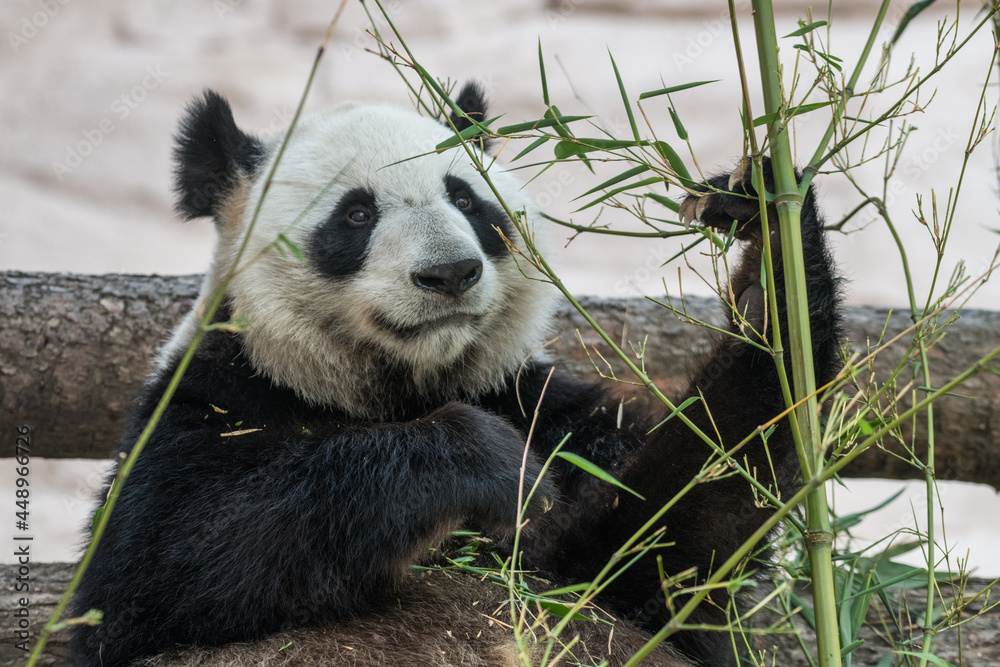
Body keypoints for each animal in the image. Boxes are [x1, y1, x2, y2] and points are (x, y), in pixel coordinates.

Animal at [70, 83, 841, 667]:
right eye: (356, 213)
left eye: (467, 199)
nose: (450, 273)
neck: (401, 387)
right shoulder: (211, 401)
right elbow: (164, 566)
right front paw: (499, 469)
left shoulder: (543, 410)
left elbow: (667, 540)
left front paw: (767, 236)